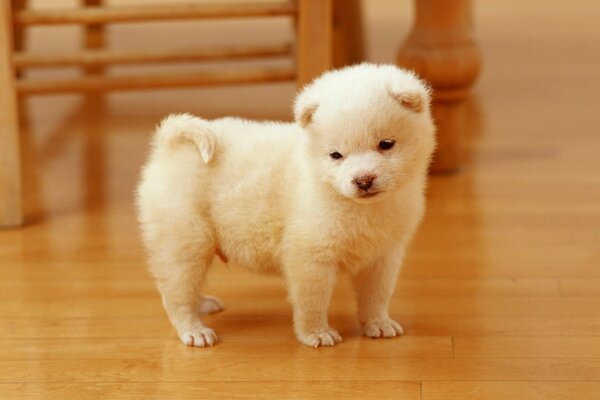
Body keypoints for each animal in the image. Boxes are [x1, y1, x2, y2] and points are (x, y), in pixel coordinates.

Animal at [137, 62, 436, 346]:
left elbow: (377, 296)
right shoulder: (310, 257)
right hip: (186, 240)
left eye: (386, 144)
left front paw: (378, 324)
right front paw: (316, 334)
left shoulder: (382, 256)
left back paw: (203, 304)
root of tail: (167, 148)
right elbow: (312, 301)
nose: (363, 180)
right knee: (176, 293)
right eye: (336, 155)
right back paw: (193, 329)